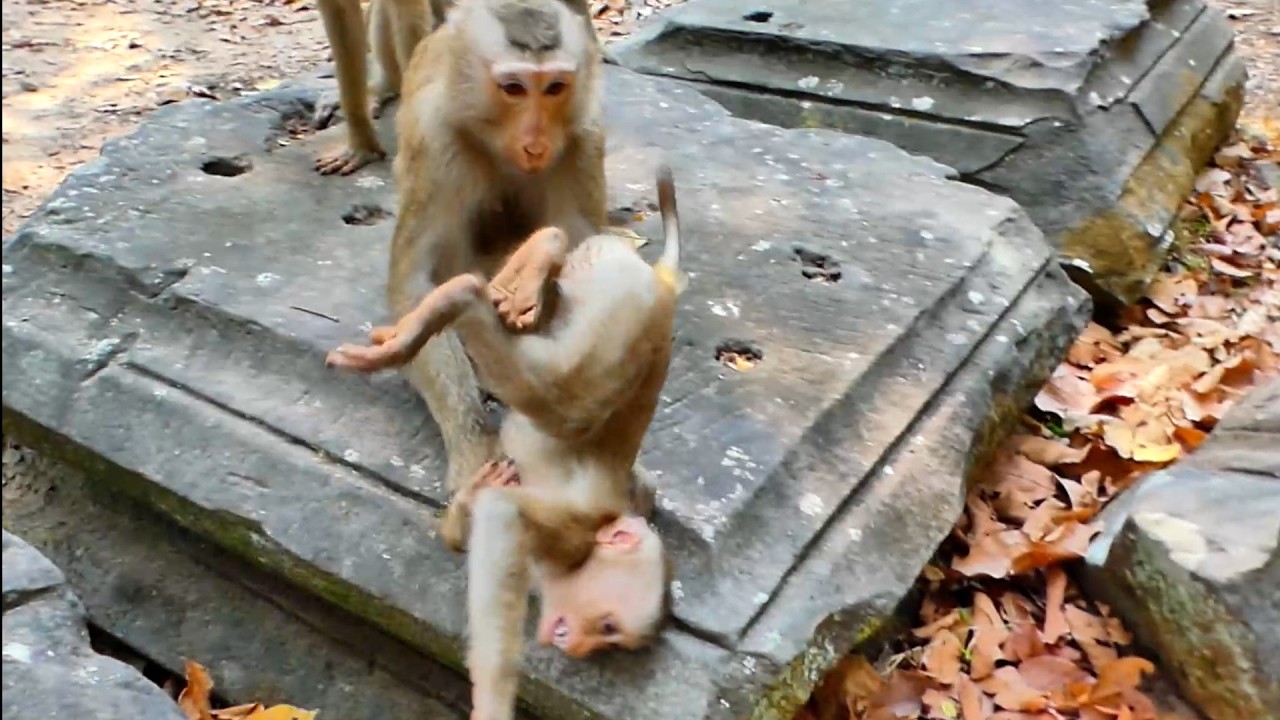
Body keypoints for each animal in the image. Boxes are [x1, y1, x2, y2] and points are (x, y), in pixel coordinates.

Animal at [327, 164, 685, 720]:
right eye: (608, 627)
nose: (576, 646)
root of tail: (659, 288)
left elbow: (469, 524)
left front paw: (466, 505)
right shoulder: (570, 532)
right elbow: (504, 516)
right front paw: (494, 700)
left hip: (596, 284)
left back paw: (530, 263)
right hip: (620, 309)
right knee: (563, 398)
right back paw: (463, 295)